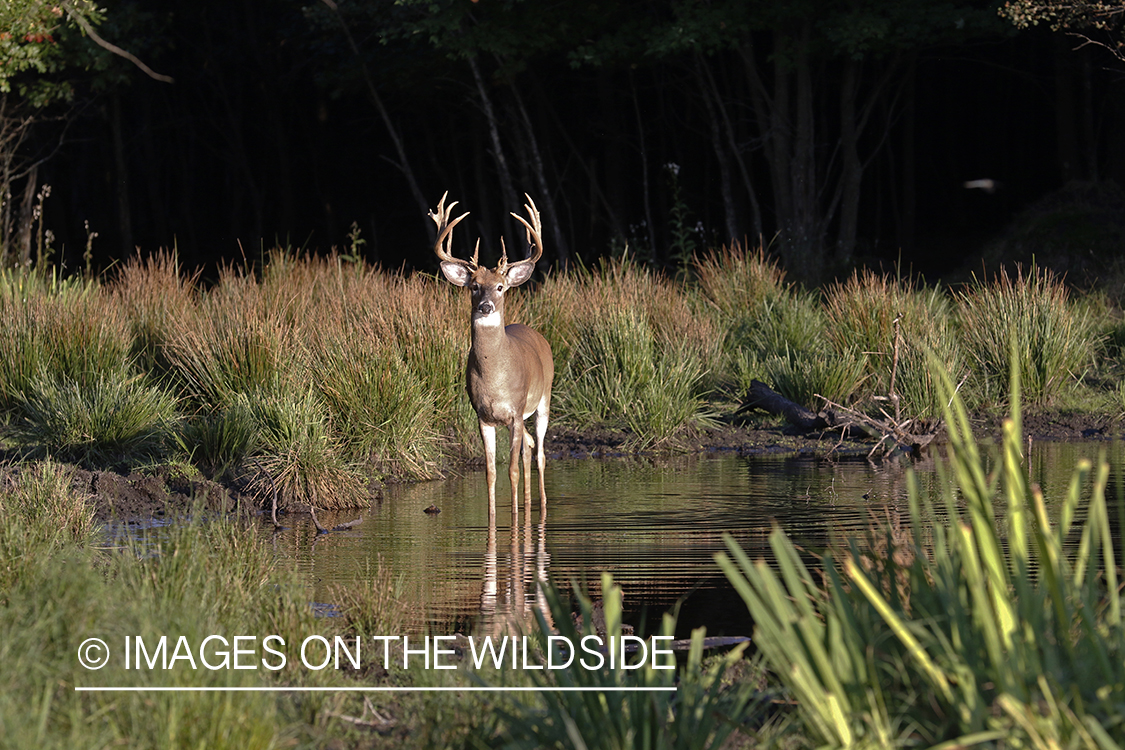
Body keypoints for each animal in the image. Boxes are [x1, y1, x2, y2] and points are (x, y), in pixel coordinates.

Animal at [429, 192, 553, 521]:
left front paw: (514, 521)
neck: (495, 377)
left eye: (500, 286)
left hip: (543, 399)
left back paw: (540, 506)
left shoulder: (515, 411)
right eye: (474, 286)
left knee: (540, 453)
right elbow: (491, 472)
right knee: (529, 448)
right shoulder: (483, 416)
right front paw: (493, 520)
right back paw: (527, 504)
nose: (486, 306)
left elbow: (511, 470)